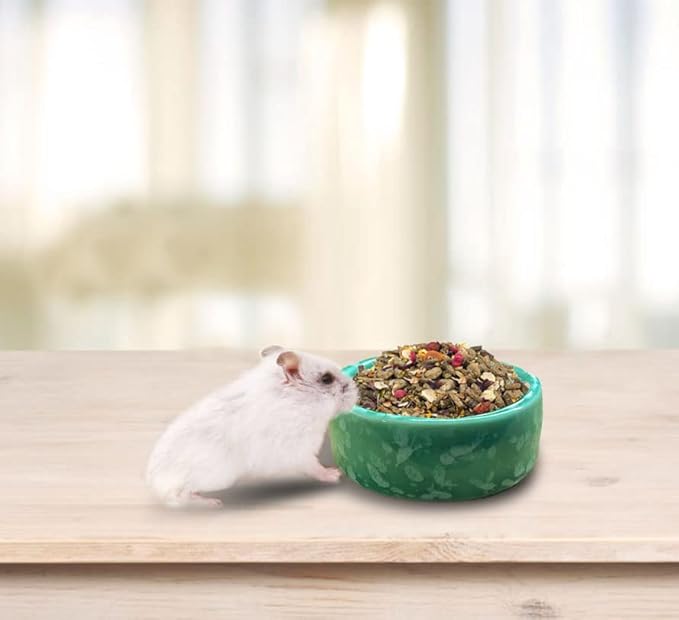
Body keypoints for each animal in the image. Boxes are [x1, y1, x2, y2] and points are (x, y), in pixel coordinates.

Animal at [145, 346, 358, 507]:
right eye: (326, 379)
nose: (356, 391)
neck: (297, 401)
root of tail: (154, 481)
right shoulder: (299, 451)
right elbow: (315, 467)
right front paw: (335, 474)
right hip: (215, 477)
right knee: (177, 495)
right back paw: (213, 503)